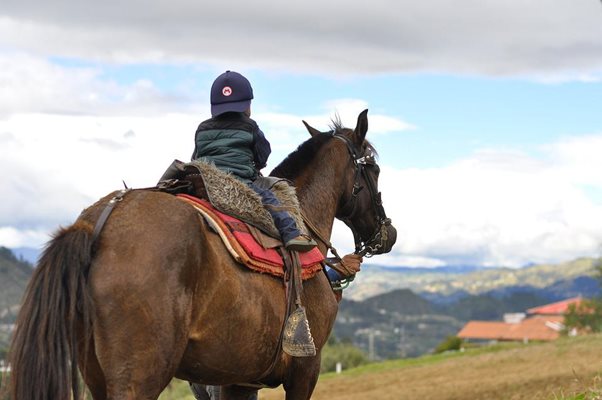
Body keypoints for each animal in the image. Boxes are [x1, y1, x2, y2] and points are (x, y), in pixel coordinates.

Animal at [9, 109, 396, 400]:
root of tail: (99, 222)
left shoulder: (237, 381)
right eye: (374, 168)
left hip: (97, 375)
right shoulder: (305, 371)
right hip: (139, 375)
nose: (387, 233)